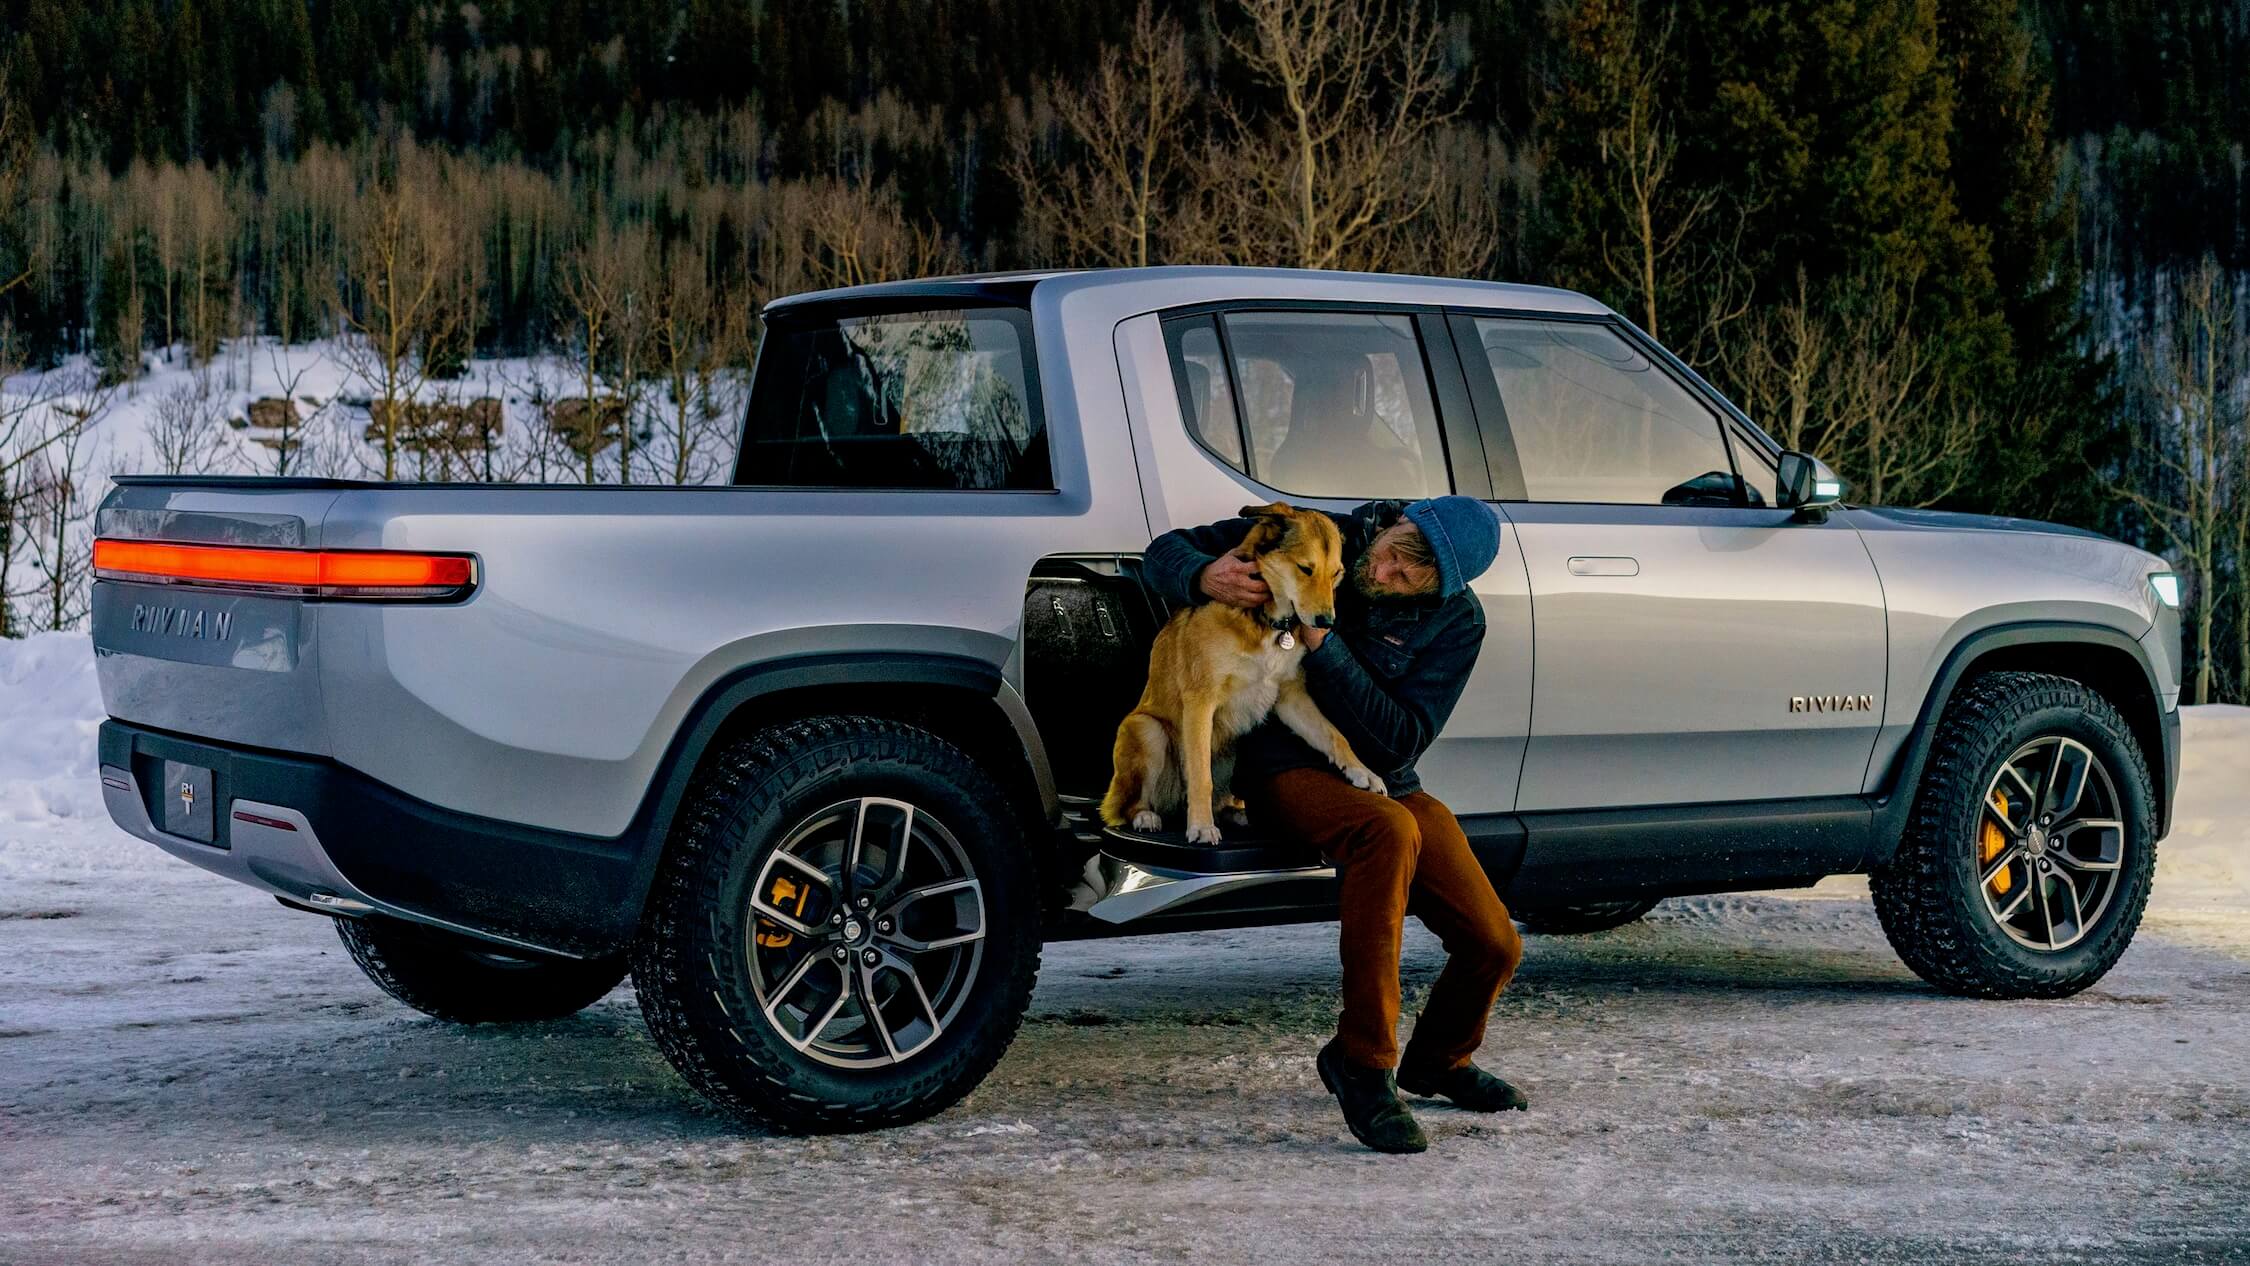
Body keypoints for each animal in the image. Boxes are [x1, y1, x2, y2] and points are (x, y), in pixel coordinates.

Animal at [1098, 503, 1377, 841]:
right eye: (1305, 569)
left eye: (1336, 573)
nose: (1326, 623)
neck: (1267, 622)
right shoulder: (1200, 702)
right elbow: (1200, 775)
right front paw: (1201, 826)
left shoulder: (1290, 698)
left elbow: (1335, 735)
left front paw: (1363, 771)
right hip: (1147, 731)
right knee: (1126, 806)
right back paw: (1146, 816)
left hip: (1234, 750)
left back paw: (1240, 814)